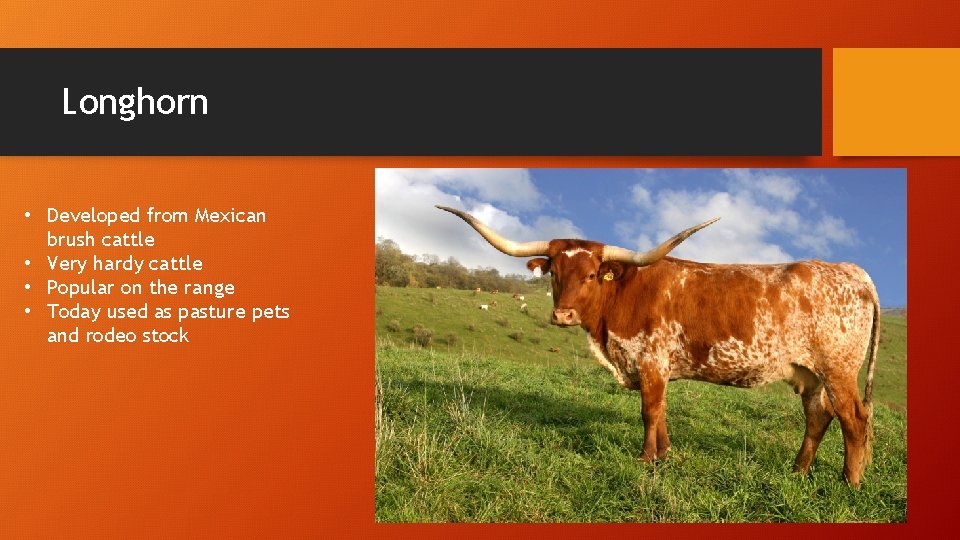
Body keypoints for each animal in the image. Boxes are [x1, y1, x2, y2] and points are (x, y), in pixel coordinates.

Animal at [437, 205, 880, 487]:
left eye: (593, 274)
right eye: (555, 272)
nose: (563, 315)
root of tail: (851, 270)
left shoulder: (650, 360)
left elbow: (649, 411)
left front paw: (647, 458)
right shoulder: (659, 367)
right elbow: (662, 410)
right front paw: (665, 455)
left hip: (838, 368)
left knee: (854, 418)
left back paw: (850, 482)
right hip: (810, 374)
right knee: (818, 417)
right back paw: (798, 471)